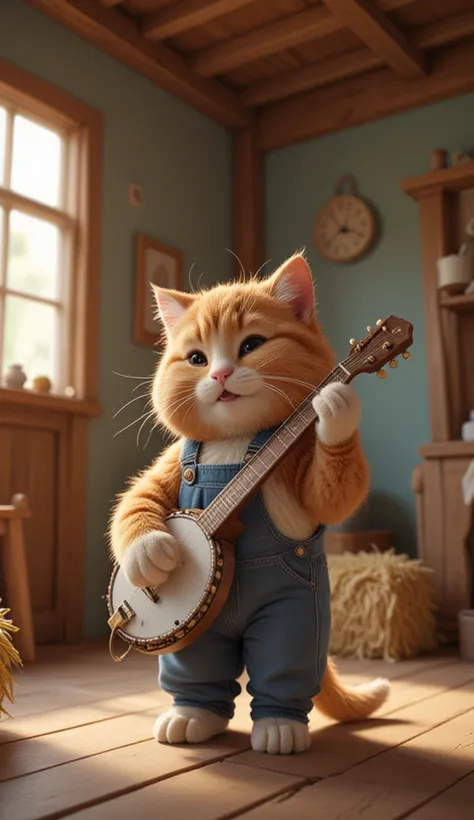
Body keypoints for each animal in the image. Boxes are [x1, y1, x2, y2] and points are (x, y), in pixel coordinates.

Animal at [110, 253, 388, 752]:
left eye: (252, 345)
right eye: (196, 359)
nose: (219, 374)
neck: (235, 443)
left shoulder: (302, 464)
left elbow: (332, 495)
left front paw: (335, 403)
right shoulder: (171, 462)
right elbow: (139, 501)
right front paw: (148, 553)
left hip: (293, 619)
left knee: (284, 666)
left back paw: (280, 728)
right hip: (197, 645)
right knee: (199, 673)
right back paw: (190, 717)